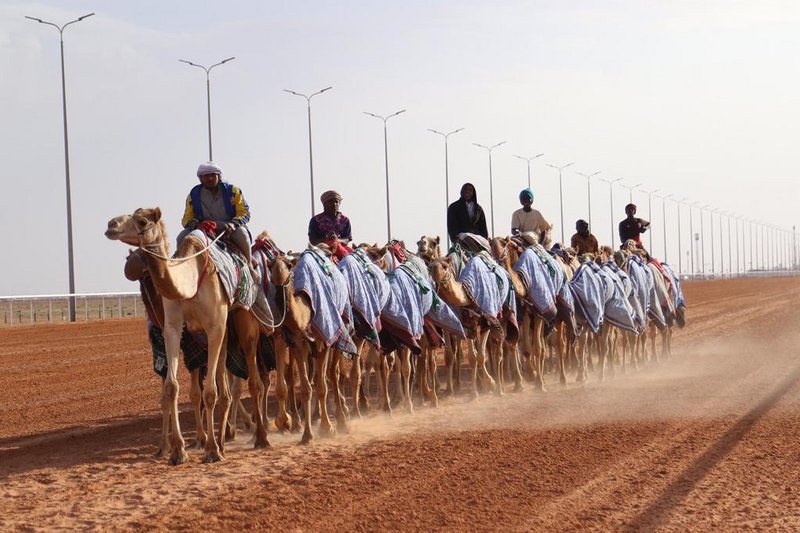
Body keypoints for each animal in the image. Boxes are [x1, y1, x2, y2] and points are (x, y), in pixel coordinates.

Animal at [105, 208, 272, 462]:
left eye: (142, 221)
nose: (111, 225)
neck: (190, 281)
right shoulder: (173, 328)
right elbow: (172, 388)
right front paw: (177, 450)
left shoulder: (213, 326)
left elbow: (210, 392)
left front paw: (210, 450)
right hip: (224, 332)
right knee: (228, 390)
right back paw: (225, 440)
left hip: (244, 322)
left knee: (254, 382)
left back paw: (260, 437)